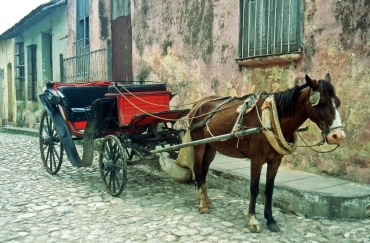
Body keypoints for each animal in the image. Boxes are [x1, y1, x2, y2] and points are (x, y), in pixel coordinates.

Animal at [189, 74, 346, 234]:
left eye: (338, 103)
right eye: (322, 103)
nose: (338, 135)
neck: (271, 119)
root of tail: (198, 104)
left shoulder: (275, 161)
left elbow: (269, 189)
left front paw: (270, 220)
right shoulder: (256, 160)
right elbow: (254, 188)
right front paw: (253, 220)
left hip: (210, 148)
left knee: (204, 172)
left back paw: (207, 201)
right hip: (199, 145)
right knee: (198, 171)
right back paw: (202, 205)